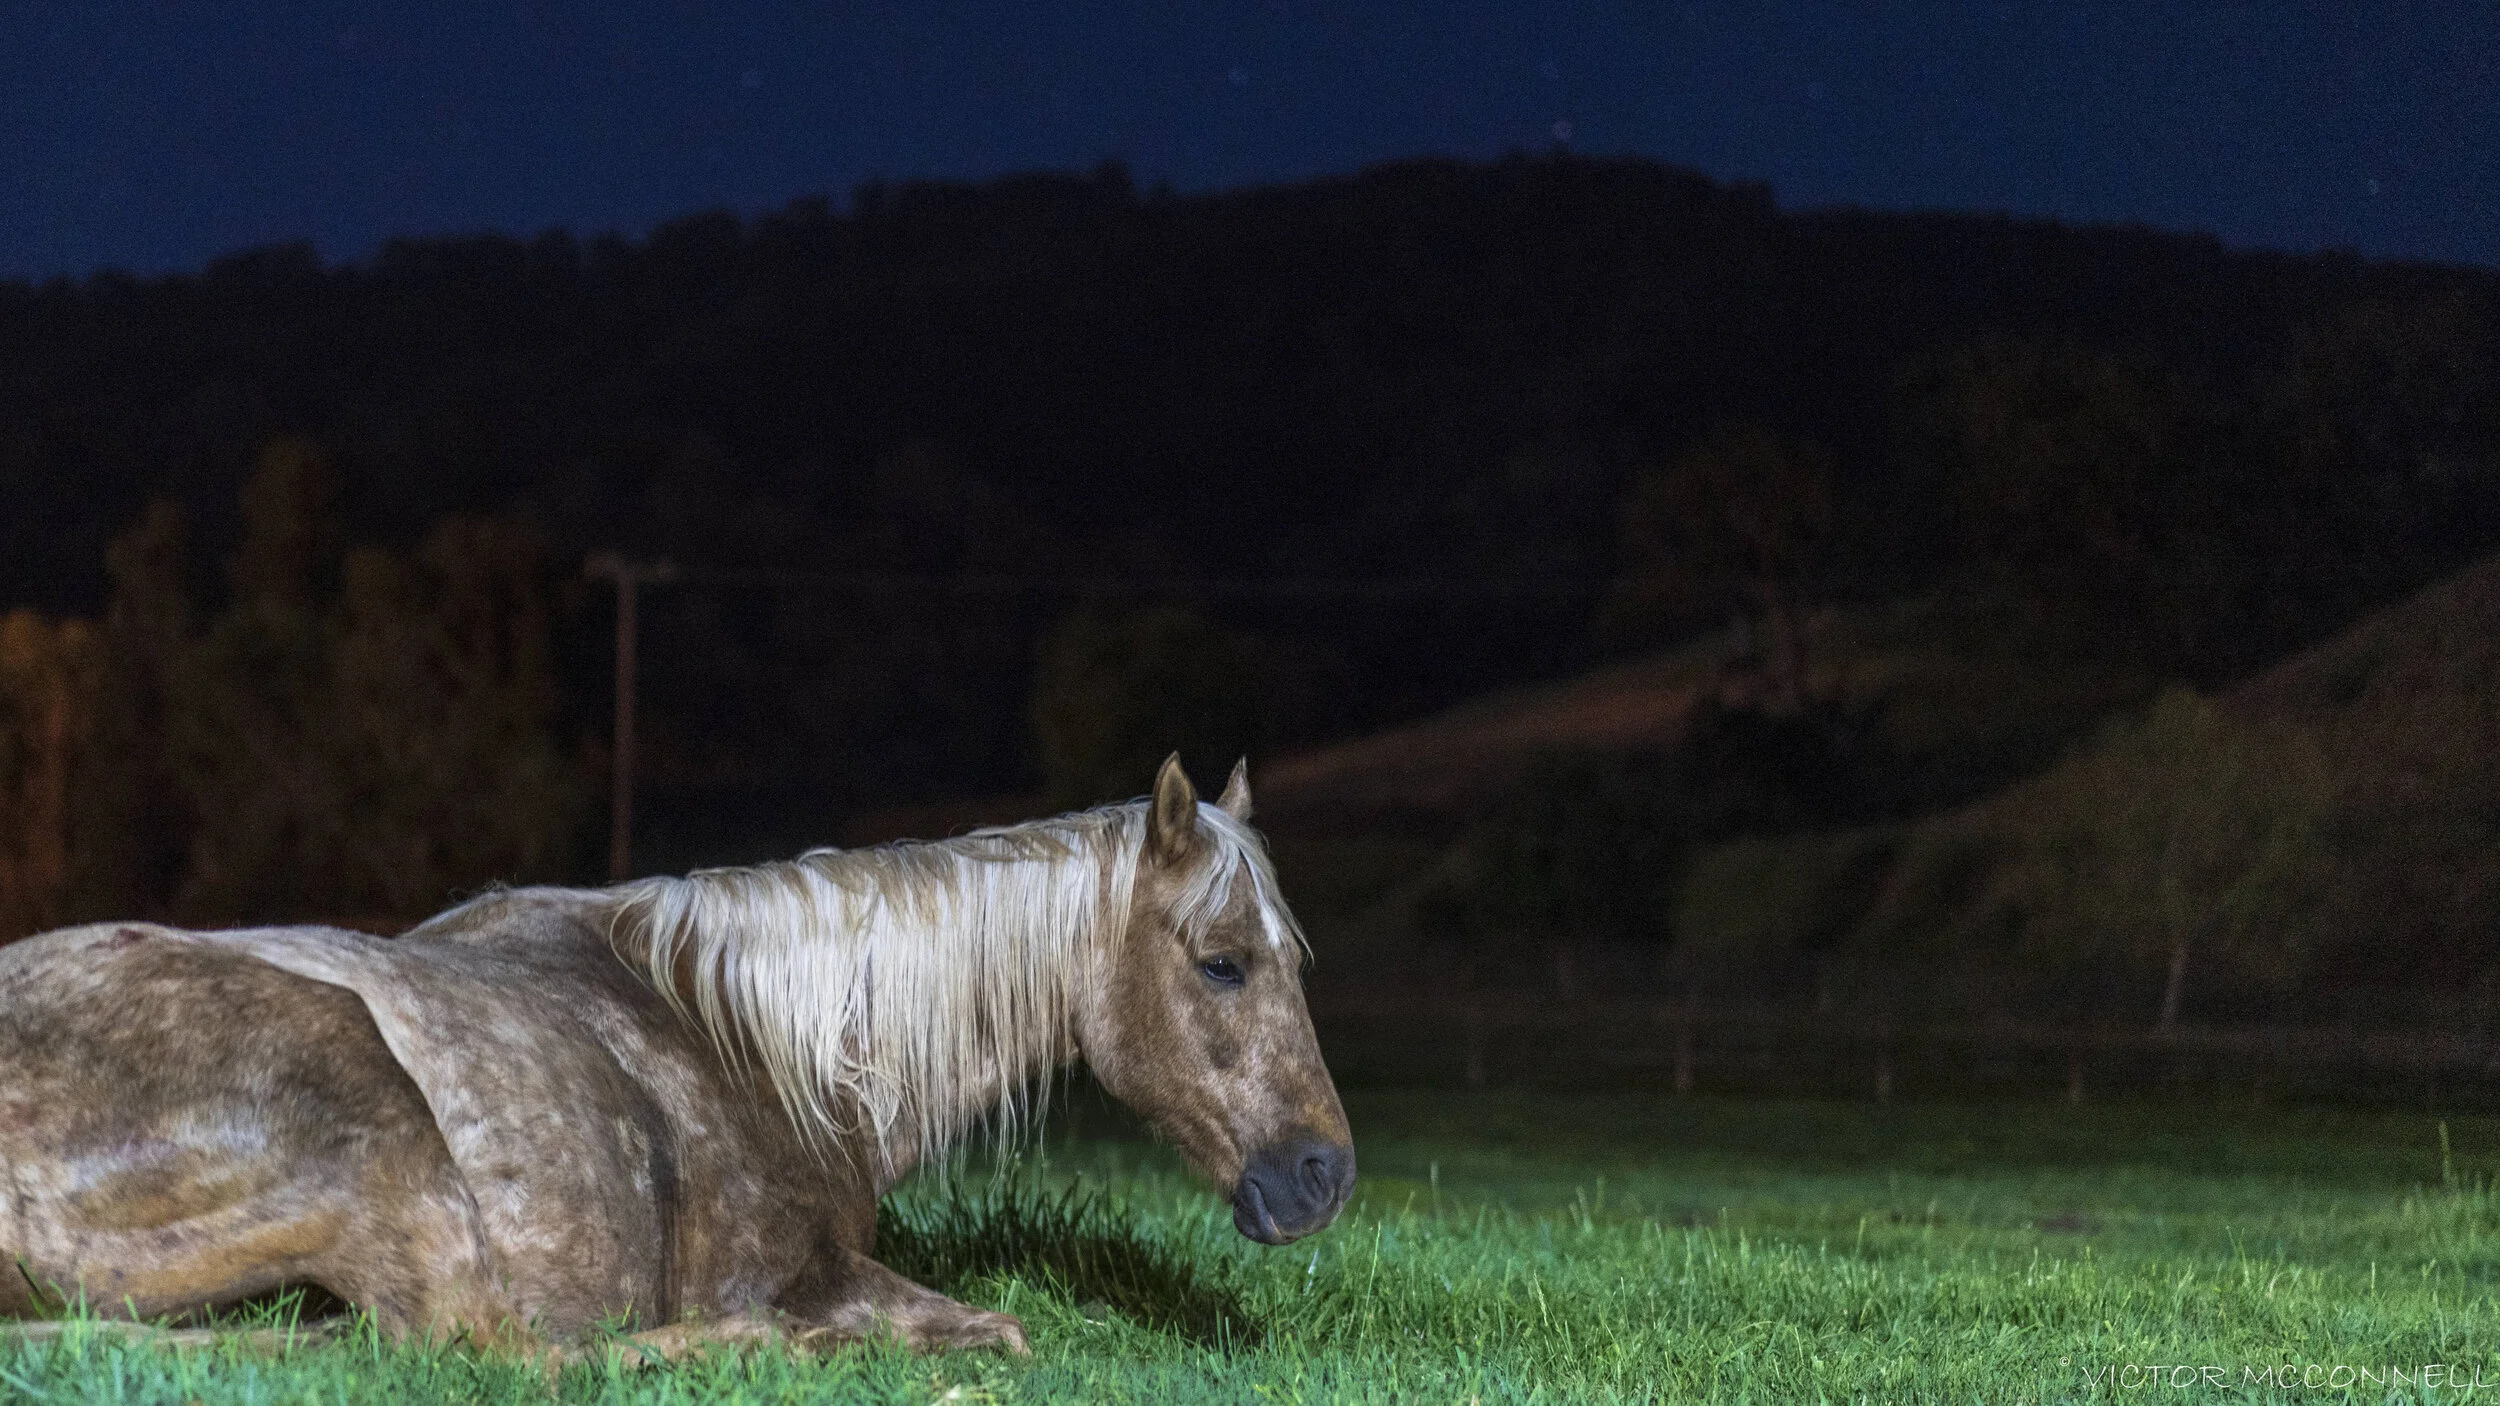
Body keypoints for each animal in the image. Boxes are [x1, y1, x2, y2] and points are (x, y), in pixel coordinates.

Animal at [0, 756, 1353, 1360]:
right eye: (1222, 962)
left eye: (1297, 956)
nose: (1322, 1175)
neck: (752, 1038)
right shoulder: (815, 1268)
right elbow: (1000, 1330)